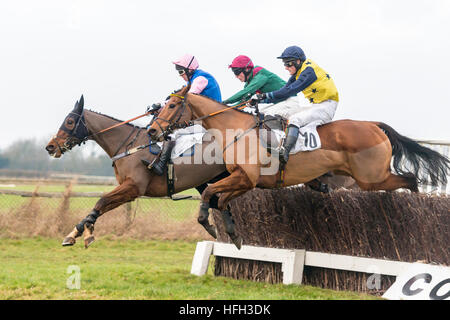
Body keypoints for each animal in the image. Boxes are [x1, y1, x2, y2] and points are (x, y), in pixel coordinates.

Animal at [149, 86, 450, 249]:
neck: (235, 129)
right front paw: (233, 235)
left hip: (371, 177)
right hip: (369, 178)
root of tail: (374, 125)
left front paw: (208, 224)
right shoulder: (243, 180)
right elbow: (220, 200)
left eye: (172, 105)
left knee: (410, 180)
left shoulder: (246, 179)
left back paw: (417, 216)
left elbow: (211, 191)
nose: (152, 131)